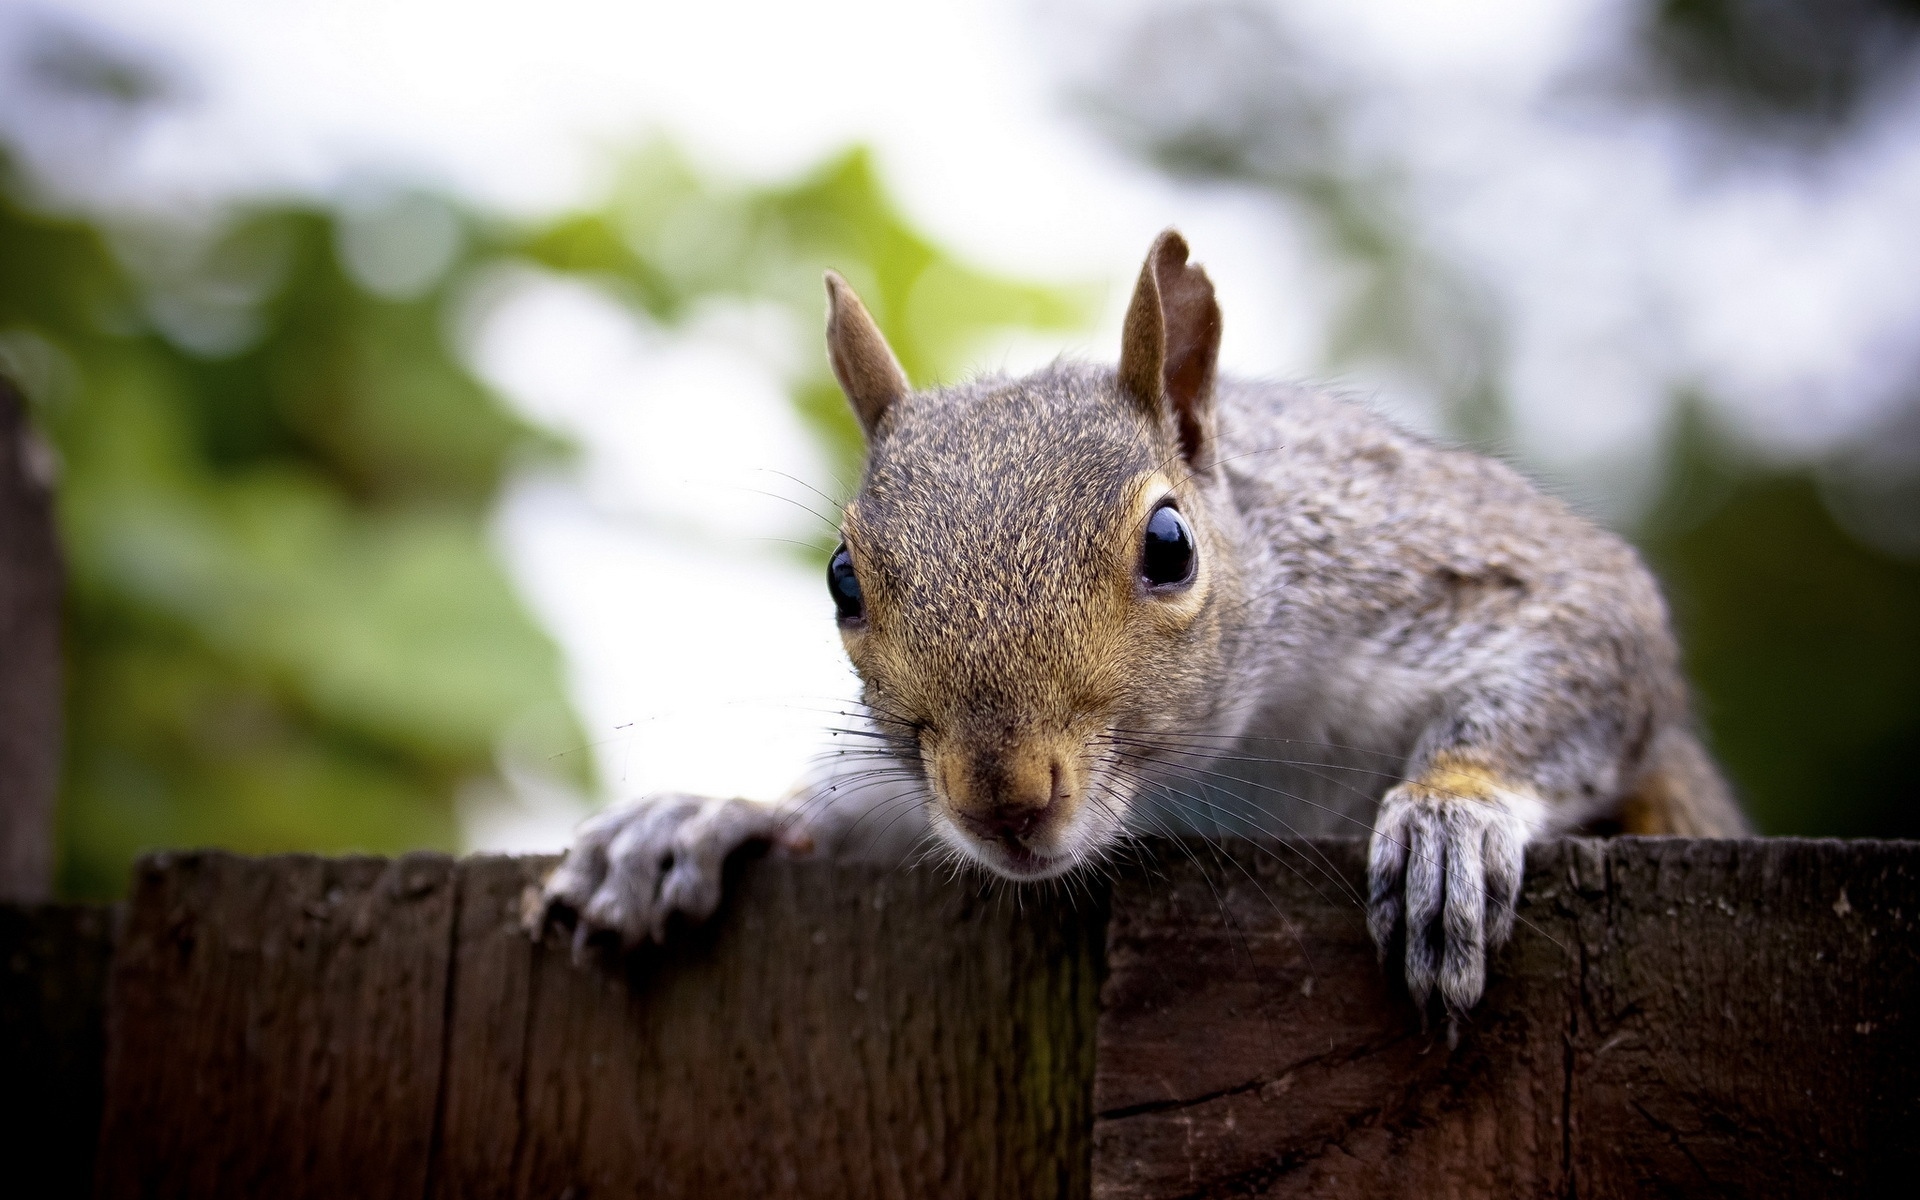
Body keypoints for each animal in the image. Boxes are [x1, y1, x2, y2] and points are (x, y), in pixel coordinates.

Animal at [538, 230, 1749, 1020]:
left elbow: (1590, 635)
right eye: (842, 581)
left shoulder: (1437, 566)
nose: (1003, 800)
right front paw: (710, 816)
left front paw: (1451, 816)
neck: (1216, 766)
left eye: (1170, 546)